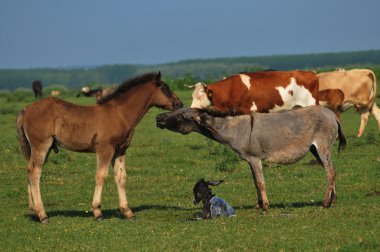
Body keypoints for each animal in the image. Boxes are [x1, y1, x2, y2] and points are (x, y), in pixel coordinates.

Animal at [189, 70, 318, 114]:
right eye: (192, 97)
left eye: (200, 96)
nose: (190, 109)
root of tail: (310, 73)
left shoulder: (249, 111)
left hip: (311, 103)